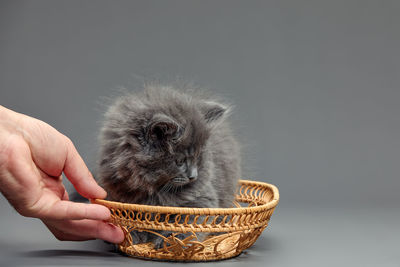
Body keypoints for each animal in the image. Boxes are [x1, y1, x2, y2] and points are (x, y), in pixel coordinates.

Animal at [97, 85, 241, 249]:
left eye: (198, 157)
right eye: (180, 161)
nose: (193, 176)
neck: (154, 189)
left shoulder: (203, 198)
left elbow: (187, 220)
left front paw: (174, 239)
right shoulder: (116, 194)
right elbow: (128, 215)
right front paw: (132, 233)